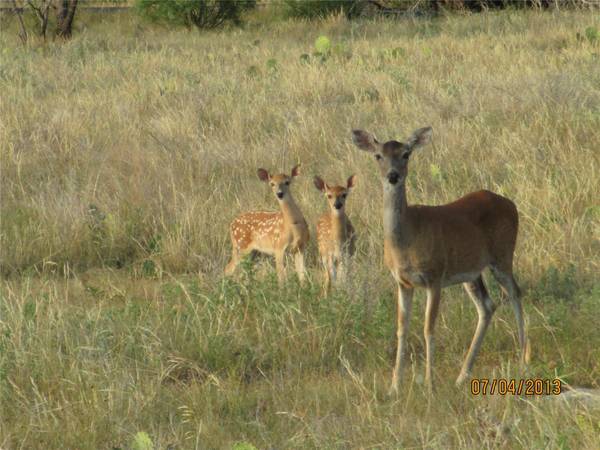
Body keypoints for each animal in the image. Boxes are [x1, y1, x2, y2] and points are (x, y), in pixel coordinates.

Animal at [352, 125, 528, 390]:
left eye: (406, 154)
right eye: (378, 156)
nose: (393, 176)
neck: (406, 241)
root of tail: (511, 203)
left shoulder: (434, 276)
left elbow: (428, 328)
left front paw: (430, 384)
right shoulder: (402, 282)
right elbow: (401, 328)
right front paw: (395, 387)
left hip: (503, 255)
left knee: (515, 292)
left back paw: (522, 361)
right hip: (471, 272)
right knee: (487, 306)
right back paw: (462, 375)